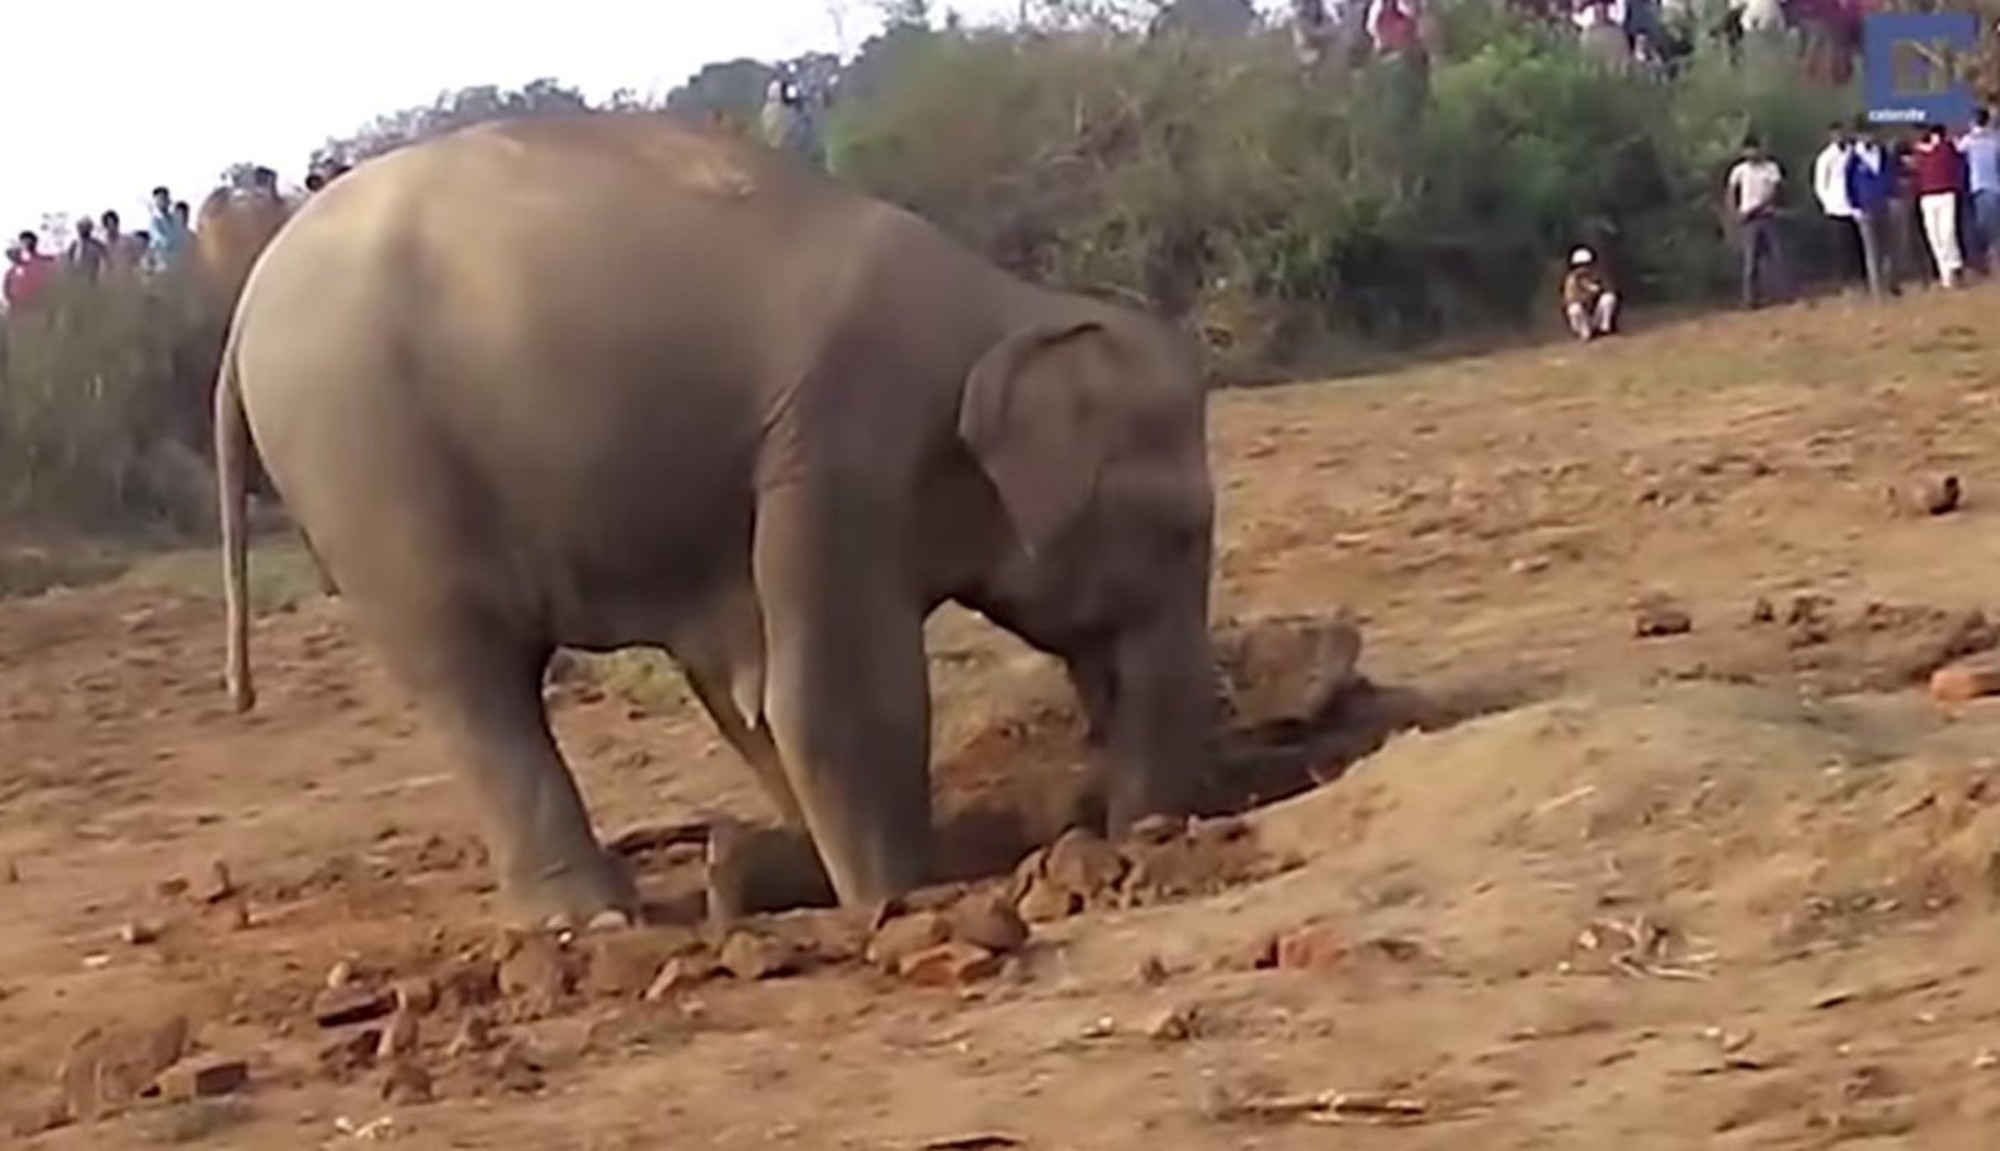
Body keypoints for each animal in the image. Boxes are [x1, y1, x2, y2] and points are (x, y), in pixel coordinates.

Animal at [214, 112, 1219, 928]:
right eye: (1181, 530)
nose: (1144, 834)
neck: (1007, 306)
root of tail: (244, 314)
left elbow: (754, 692)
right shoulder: (841, 438)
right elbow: (836, 695)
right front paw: (901, 897)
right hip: (370, 467)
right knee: (473, 678)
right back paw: (589, 919)